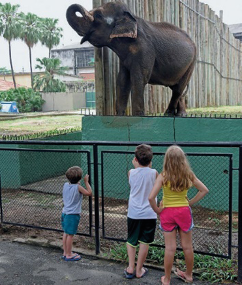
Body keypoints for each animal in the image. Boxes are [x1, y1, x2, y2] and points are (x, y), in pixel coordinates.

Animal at [66, 1, 197, 115]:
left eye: (98, 15)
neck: (132, 17)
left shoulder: (145, 49)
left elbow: (138, 79)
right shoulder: (124, 58)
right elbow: (122, 80)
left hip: (192, 63)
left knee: (178, 89)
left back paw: (168, 114)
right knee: (177, 88)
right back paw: (180, 115)